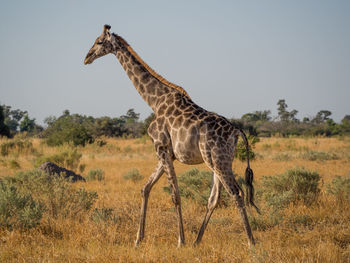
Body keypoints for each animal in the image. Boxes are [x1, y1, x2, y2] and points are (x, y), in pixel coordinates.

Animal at [84, 24, 260, 248]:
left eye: (98, 42)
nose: (87, 57)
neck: (154, 101)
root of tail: (236, 131)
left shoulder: (161, 146)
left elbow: (175, 195)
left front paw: (180, 241)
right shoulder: (167, 152)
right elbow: (145, 188)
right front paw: (138, 240)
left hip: (218, 159)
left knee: (236, 193)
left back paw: (251, 242)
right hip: (217, 161)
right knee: (214, 198)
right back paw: (197, 241)